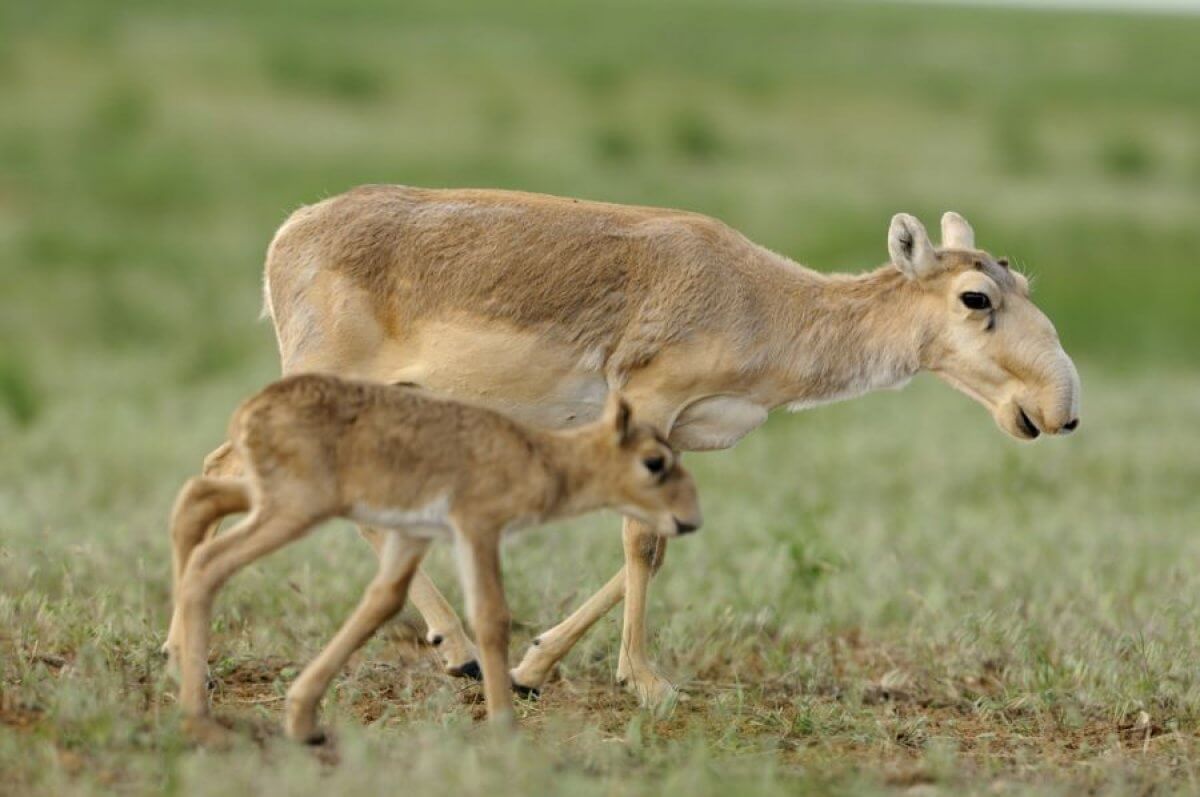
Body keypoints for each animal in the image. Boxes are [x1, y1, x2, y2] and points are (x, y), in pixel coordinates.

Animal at [204, 184, 1080, 705]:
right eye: (976, 296)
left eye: (1022, 281)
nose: (1060, 408)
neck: (764, 301)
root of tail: (288, 233)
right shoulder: (649, 405)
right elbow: (640, 541)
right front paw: (647, 680)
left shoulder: (679, 433)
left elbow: (660, 542)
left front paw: (533, 664)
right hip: (324, 379)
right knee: (235, 468)